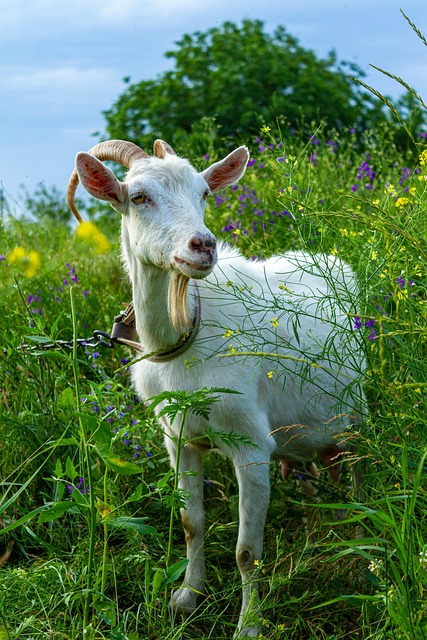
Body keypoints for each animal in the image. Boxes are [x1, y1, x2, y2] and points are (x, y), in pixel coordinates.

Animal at [67, 139, 366, 638]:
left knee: (360, 472)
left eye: (204, 193)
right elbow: (192, 522)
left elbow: (248, 552)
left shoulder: (251, 444)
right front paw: (187, 597)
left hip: (355, 416)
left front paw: (248, 626)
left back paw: (360, 545)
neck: (185, 337)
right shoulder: (179, 439)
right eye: (138, 197)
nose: (203, 245)